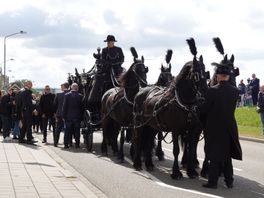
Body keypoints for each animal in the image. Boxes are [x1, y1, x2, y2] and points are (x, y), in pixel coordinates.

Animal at [133, 38, 209, 179]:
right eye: (196, 74)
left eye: (206, 74)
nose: (205, 93)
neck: (185, 102)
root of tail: (141, 91)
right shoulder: (176, 129)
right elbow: (176, 150)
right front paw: (176, 172)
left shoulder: (192, 130)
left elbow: (191, 149)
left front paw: (191, 171)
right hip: (140, 123)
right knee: (138, 139)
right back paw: (137, 163)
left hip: (151, 125)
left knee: (149, 141)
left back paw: (149, 163)